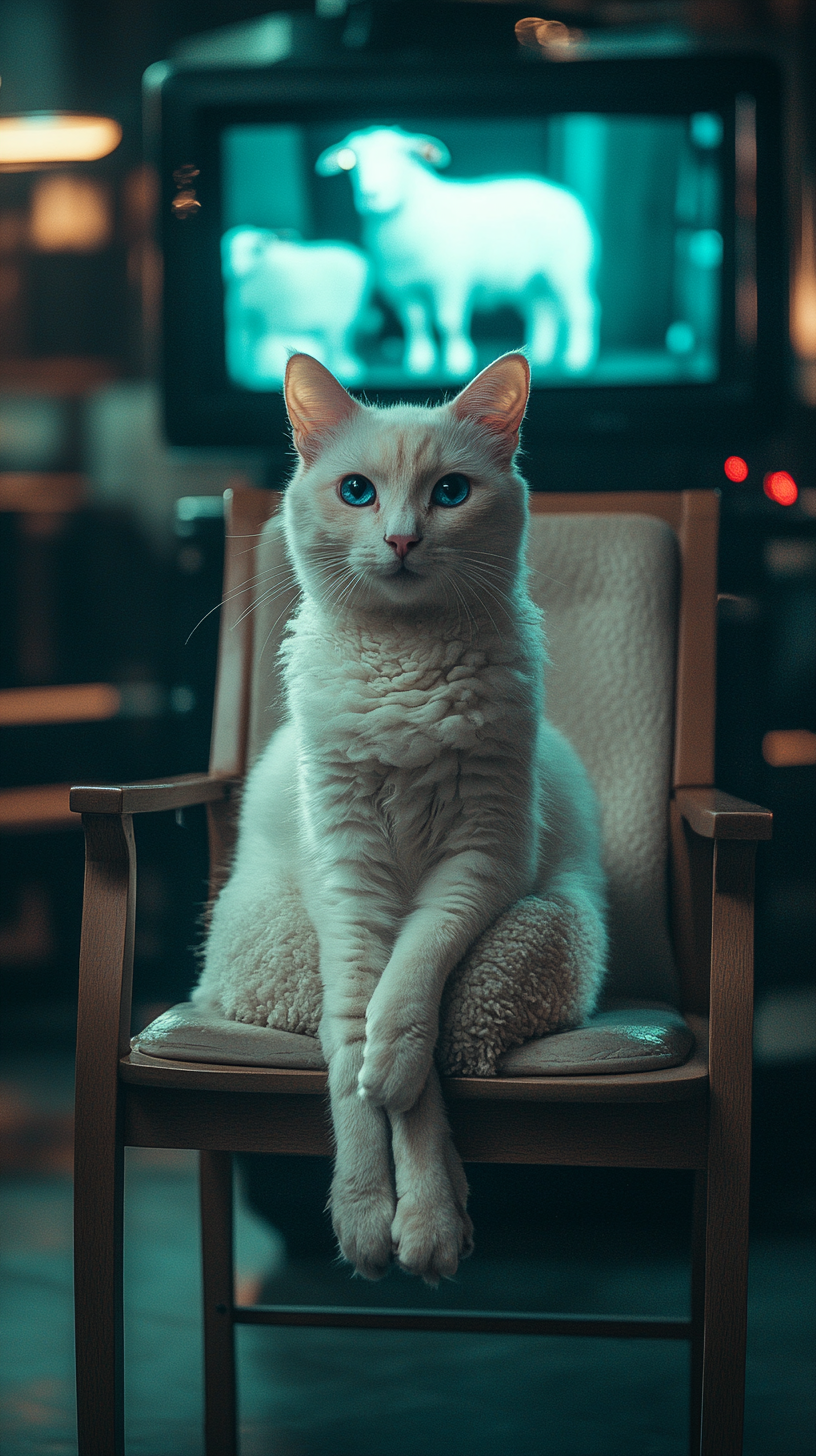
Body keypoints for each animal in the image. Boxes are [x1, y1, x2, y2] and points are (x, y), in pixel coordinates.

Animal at [198, 352, 606, 1287]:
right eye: (358, 492)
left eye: (450, 492)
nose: (402, 540)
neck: (405, 665)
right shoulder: (348, 876)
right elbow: (353, 1041)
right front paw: (365, 1214)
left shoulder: (478, 865)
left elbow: (411, 1002)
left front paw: (424, 1221)